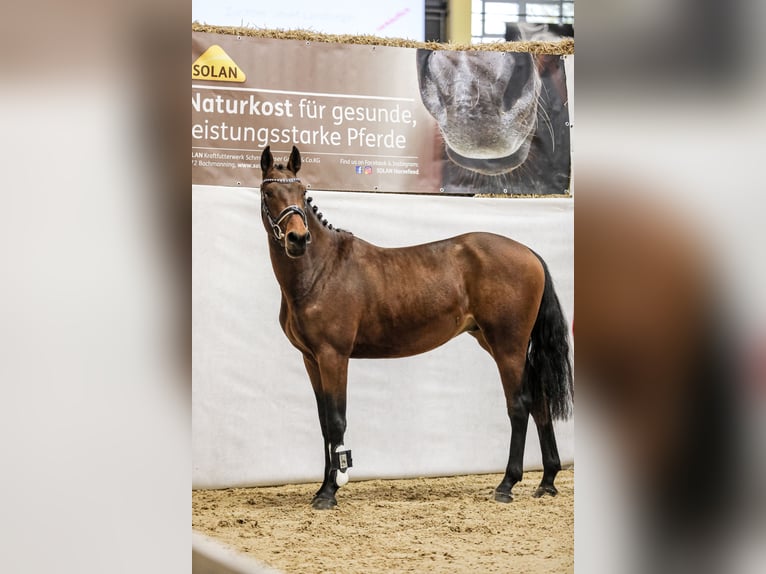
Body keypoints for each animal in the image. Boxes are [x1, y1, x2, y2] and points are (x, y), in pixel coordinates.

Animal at [260, 146, 572, 510]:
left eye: (302, 191)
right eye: (269, 193)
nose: (297, 239)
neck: (321, 270)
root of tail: (529, 253)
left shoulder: (333, 356)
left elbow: (337, 420)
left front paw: (329, 492)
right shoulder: (311, 359)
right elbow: (325, 423)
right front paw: (323, 487)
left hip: (508, 346)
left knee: (519, 405)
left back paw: (507, 484)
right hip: (504, 345)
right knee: (539, 402)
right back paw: (547, 481)